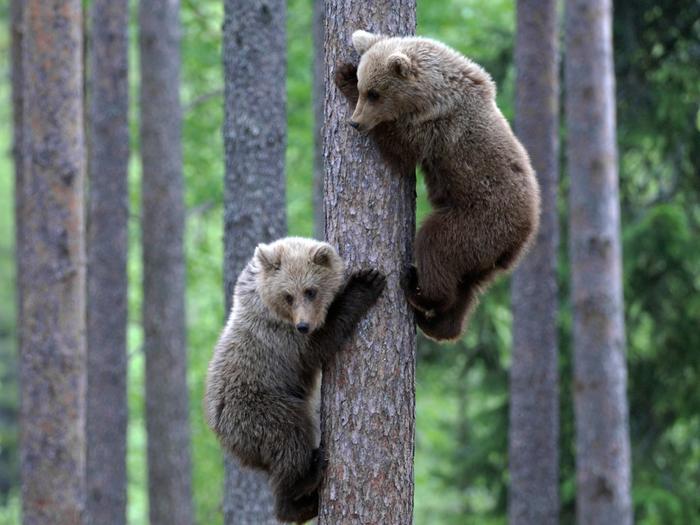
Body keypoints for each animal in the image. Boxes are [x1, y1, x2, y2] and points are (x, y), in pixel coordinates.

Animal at [204, 237, 386, 523]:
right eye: (288, 295)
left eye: (310, 291)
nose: (303, 325)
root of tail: (220, 430)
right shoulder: (283, 339)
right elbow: (321, 342)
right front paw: (365, 283)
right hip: (259, 408)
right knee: (290, 436)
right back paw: (305, 481)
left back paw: (305, 503)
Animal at [334, 30, 540, 342]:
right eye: (365, 88)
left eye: (373, 93)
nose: (355, 122)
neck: (432, 95)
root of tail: (521, 237)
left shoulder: (436, 130)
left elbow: (400, 151)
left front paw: (342, 76)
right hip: (485, 256)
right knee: (467, 287)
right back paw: (438, 323)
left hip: (477, 221)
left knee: (436, 246)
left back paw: (417, 288)